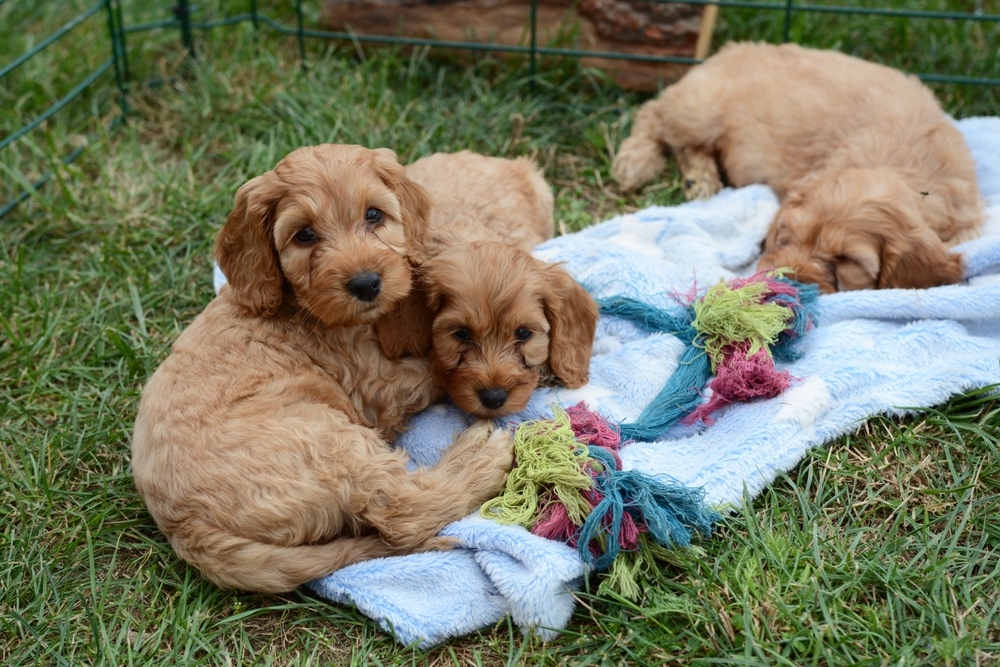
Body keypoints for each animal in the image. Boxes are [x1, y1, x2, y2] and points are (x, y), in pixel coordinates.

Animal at [131, 144, 516, 592]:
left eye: (374, 215)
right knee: (401, 510)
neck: (303, 309)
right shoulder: (378, 385)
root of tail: (188, 531)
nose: (366, 283)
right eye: (304, 234)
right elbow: (437, 366)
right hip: (329, 441)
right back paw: (480, 458)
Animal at [612, 41, 980, 292]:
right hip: (700, 110)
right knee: (653, 115)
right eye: (787, 235)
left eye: (847, 261)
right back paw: (635, 162)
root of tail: (728, 49)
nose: (784, 280)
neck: (898, 162)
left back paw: (700, 179)